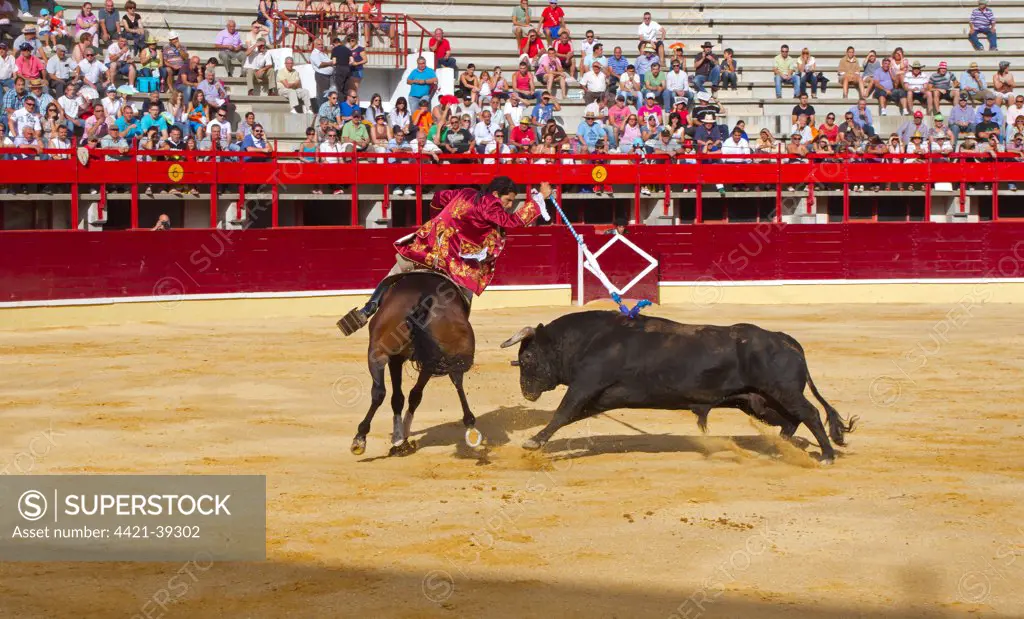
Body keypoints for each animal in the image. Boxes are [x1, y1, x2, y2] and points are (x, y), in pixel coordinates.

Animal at [350, 270, 481, 455]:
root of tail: (424, 297)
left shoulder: (396, 358)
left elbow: (398, 396)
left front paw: (399, 437)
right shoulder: (426, 360)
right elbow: (410, 396)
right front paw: (401, 437)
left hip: (377, 352)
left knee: (379, 392)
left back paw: (360, 438)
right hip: (441, 356)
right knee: (455, 381)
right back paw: (470, 425)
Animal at [497, 311, 856, 461]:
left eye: (527, 356)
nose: (526, 391)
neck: (588, 339)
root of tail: (786, 340)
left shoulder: (586, 386)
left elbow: (561, 413)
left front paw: (532, 442)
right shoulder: (599, 398)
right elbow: (570, 416)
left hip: (782, 391)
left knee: (809, 414)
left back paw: (826, 455)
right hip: (757, 400)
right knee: (790, 421)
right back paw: (780, 448)